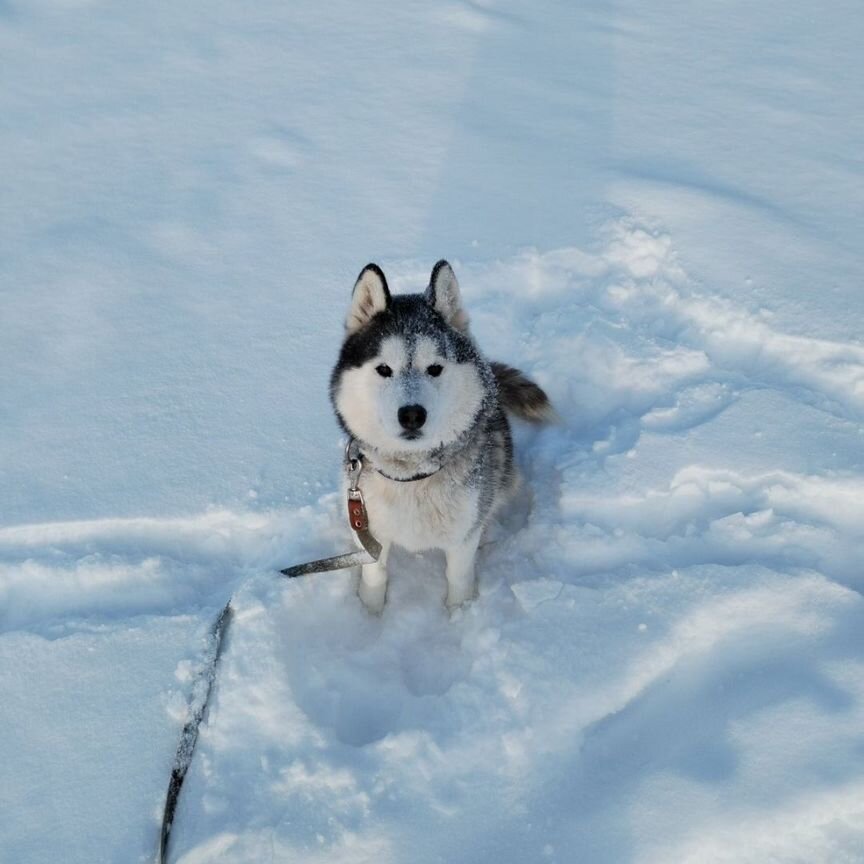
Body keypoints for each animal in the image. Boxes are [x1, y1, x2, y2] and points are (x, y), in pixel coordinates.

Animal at [330, 260, 552, 612]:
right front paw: (369, 614)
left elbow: (458, 577)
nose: (411, 414)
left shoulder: (463, 536)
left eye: (435, 368)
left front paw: (460, 615)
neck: (412, 476)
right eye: (384, 369)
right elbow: (374, 575)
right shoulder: (367, 526)